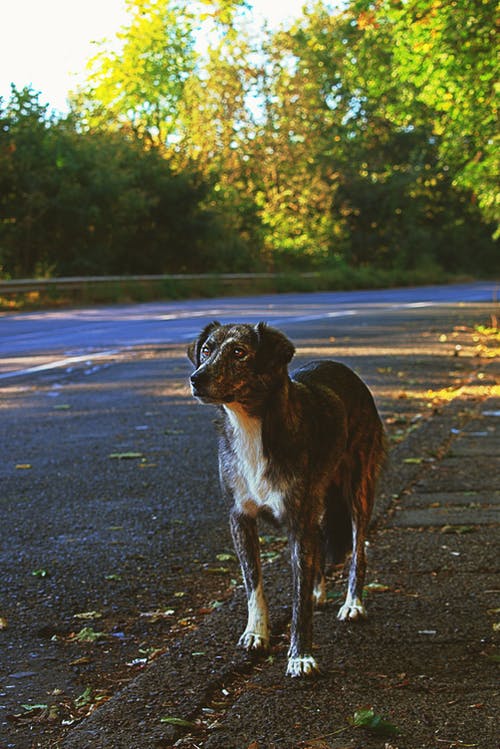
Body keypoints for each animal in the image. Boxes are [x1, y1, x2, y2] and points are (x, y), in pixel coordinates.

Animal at [188, 318, 386, 676]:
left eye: (239, 352)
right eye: (207, 350)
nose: (196, 379)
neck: (251, 428)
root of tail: (343, 368)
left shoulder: (297, 522)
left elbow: (298, 602)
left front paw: (300, 656)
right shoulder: (240, 519)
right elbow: (253, 583)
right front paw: (256, 634)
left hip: (358, 489)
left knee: (358, 551)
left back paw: (352, 604)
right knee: (321, 539)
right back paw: (320, 591)